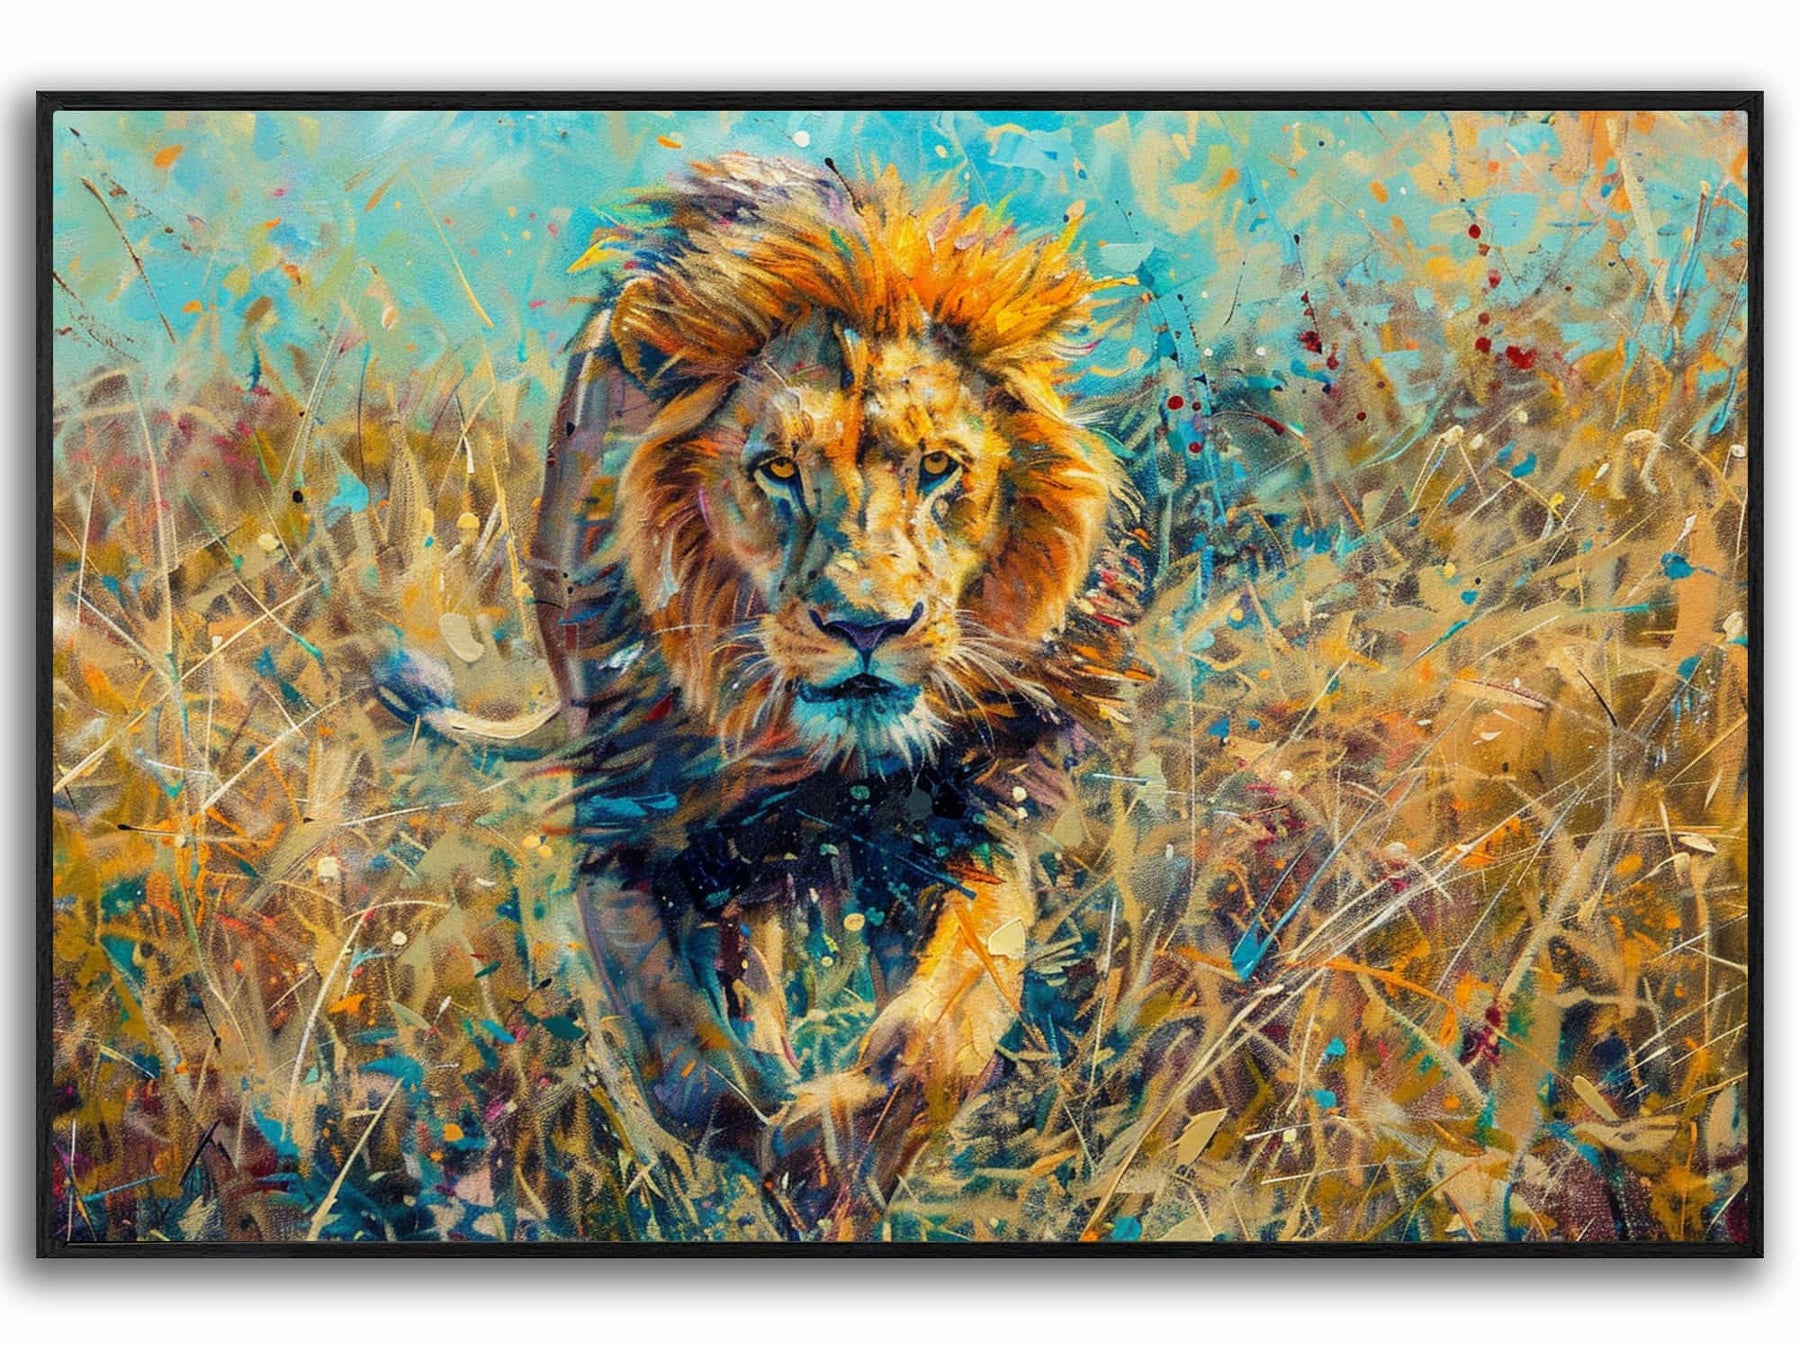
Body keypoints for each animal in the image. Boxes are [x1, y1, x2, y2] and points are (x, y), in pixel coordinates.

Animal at [530, 154, 1146, 1236]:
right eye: (776, 469)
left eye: (939, 467)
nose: (867, 626)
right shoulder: (628, 835)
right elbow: (691, 1070)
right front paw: (785, 1148)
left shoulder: (963, 826)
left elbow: (939, 1041)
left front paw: (836, 1156)